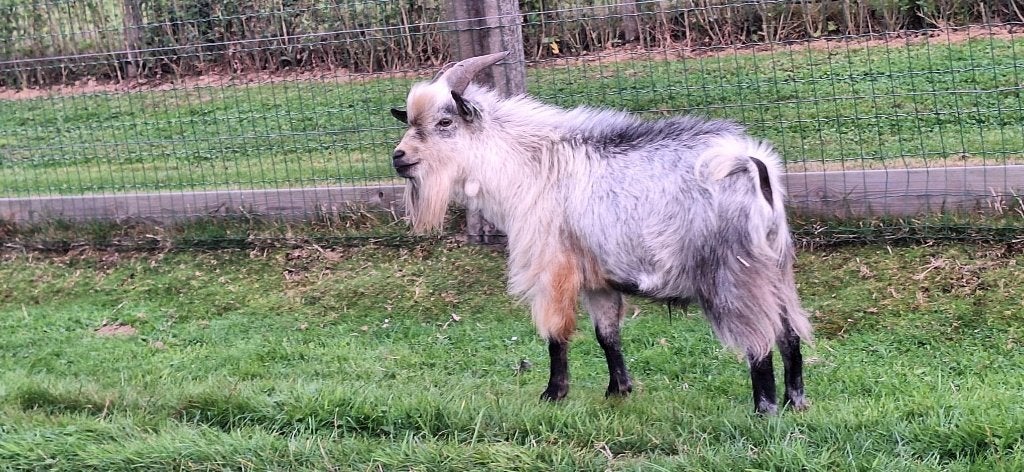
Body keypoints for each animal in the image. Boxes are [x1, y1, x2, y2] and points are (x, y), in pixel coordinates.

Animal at [389, 51, 813, 414]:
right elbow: (607, 335)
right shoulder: (599, 279)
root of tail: (752, 163)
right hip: (775, 266)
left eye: (445, 122)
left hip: (733, 275)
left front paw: (553, 393)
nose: (399, 157)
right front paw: (618, 391)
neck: (531, 164)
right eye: (410, 122)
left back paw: (764, 409)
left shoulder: (553, 268)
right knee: (789, 332)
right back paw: (796, 401)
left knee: (759, 339)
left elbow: (556, 333)